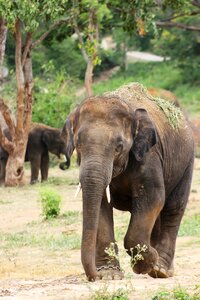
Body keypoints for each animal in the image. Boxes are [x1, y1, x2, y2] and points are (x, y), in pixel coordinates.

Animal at [61, 82, 195, 282]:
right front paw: (110, 275)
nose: (94, 277)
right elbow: (101, 205)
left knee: (173, 208)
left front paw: (146, 263)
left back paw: (161, 269)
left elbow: (153, 198)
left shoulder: (149, 156)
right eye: (78, 145)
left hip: (186, 163)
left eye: (119, 147)